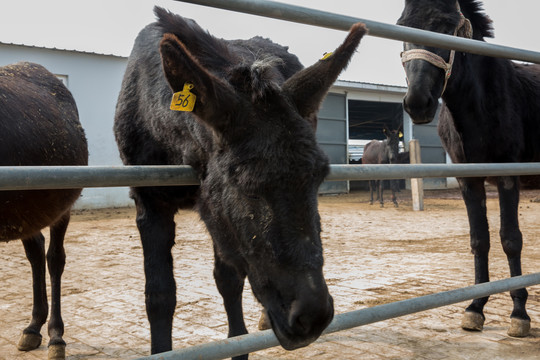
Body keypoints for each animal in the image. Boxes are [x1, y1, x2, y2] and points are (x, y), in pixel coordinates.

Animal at [396, 0, 540, 338]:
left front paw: (519, 314)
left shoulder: (508, 175)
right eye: (402, 26)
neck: (482, 105)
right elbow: (479, 240)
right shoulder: (468, 179)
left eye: (448, 27)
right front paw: (475, 308)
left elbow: (510, 239)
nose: (417, 103)